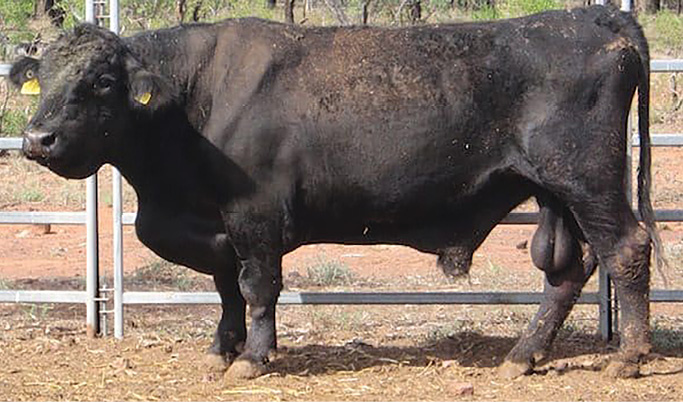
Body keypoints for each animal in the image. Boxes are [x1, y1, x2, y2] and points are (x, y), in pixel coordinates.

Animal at [10, 5, 660, 380]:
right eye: (46, 78)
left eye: (101, 81)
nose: (37, 138)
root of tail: (595, 17)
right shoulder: (217, 225)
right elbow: (225, 288)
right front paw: (222, 349)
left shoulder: (254, 217)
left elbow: (257, 287)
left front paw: (253, 359)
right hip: (553, 191)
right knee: (568, 270)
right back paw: (522, 357)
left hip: (588, 179)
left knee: (627, 248)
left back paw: (629, 357)